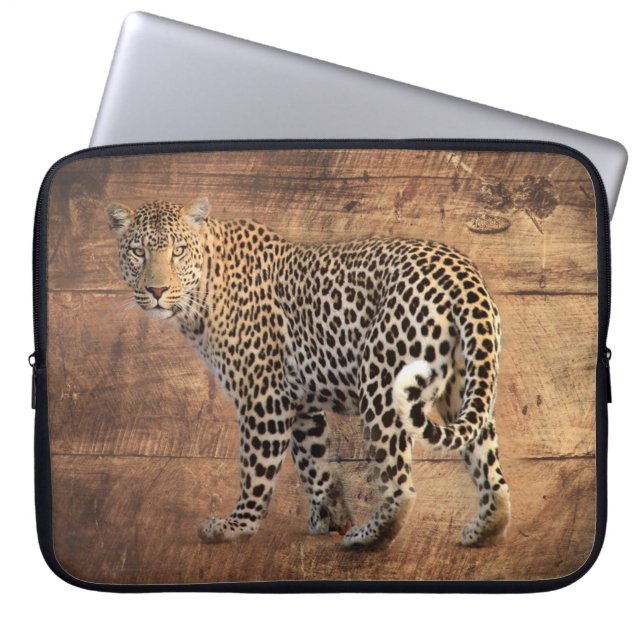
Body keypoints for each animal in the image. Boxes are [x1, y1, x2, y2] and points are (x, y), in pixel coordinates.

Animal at [106, 197, 511, 549]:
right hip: (465, 386)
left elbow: (256, 469)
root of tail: (463, 274)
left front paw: (237, 525)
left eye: (178, 251)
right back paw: (483, 530)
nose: (157, 290)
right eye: (138, 252)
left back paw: (368, 538)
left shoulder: (263, 398)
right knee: (490, 469)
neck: (202, 293)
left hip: (382, 384)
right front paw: (329, 518)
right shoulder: (300, 402)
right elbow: (314, 463)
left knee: (401, 486)